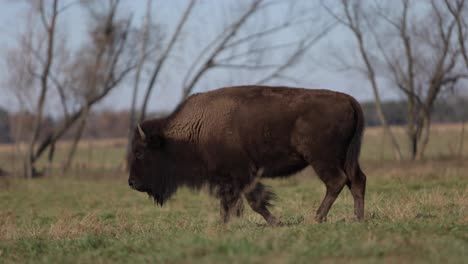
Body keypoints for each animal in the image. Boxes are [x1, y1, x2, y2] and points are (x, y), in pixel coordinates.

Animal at [127, 85, 366, 225]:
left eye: (139, 152)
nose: (132, 182)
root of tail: (348, 99)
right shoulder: (225, 178)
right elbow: (228, 203)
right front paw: (224, 225)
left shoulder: (242, 173)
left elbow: (254, 201)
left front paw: (276, 223)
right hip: (345, 158)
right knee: (356, 180)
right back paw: (357, 218)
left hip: (321, 159)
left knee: (337, 181)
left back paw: (317, 218)